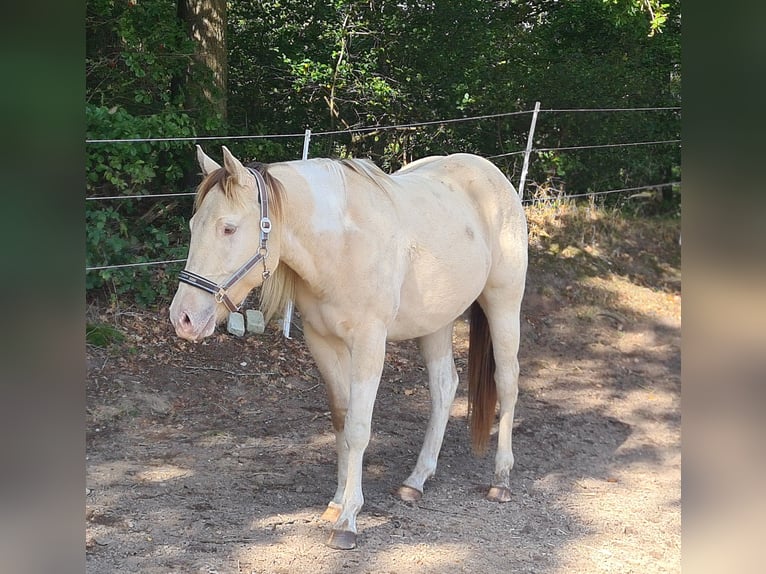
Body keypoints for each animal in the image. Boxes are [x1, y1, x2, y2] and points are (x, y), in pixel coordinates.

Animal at [169, 146, 528, 549]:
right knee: (444, 387)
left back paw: (501, 480)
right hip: (437, 323)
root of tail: (492, 174)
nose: (183, 317)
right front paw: (336, 503)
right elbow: (341, 420)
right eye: (192, 226)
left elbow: (358, 427)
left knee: (507, 382)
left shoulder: (370, 342)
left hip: (503, 304)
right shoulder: (322, 342)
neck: (341, 244)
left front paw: (348, 521)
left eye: (228, 228)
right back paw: (416, 481)